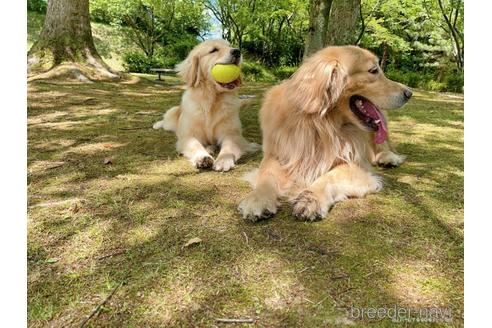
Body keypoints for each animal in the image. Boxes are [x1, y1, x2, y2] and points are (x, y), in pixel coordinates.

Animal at [154, 39, 258, 170]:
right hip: (171, 116)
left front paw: (224, 159)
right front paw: (202, 157)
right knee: (166, 122)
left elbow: (228, 146)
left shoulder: (232, 133)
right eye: (213, 50)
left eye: (229, 46)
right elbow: (195, 144)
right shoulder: (188, 135)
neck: (211, 99)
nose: (237, 51)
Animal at [238, 44, 412, 222]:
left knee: (383, 145)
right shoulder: (275, 155)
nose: (409, 93)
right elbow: (267, 176)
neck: (320, 125)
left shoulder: (356, 164)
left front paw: (311, 199)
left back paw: (388, 158)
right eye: (373, 70)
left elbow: (329, 177)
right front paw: (258, 199)